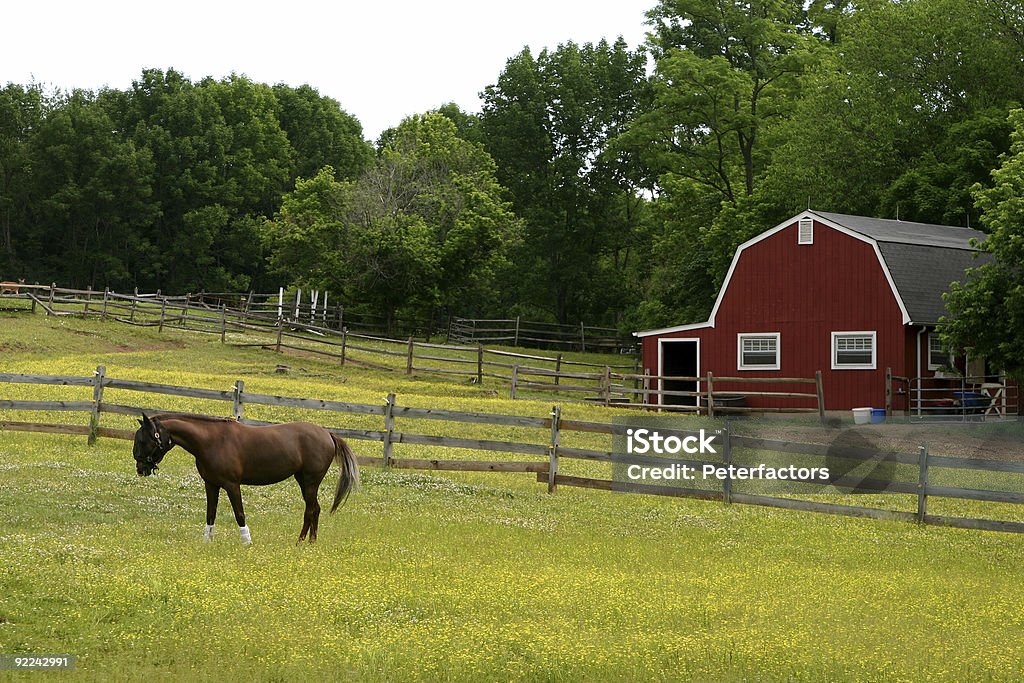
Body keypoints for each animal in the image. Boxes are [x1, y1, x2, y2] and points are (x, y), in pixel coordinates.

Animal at [131, 411, 360, 544]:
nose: (140, 468)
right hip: (303, 481)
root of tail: (327, 434)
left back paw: (301, 542)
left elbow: (239, 514)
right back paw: (310, 542)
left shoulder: (232, 485)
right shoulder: (211, 485)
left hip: (310, 481)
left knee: (311, 510)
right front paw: (207, 542)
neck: (212, 441)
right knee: (315, 509)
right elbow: (210, 514)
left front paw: (247, 542)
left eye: (143, 440)